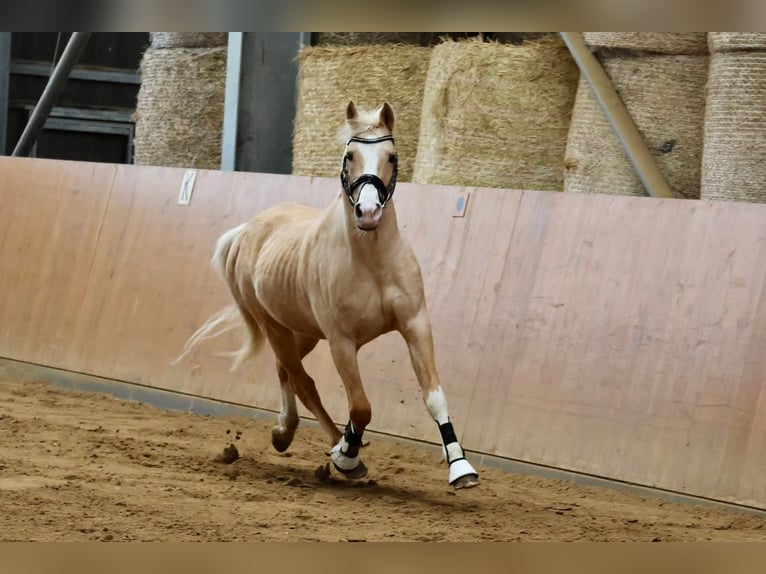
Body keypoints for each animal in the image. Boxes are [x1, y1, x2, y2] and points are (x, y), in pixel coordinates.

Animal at [180, 101, 479, 489]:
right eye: (350, 155)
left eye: (392, 156)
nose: (368, 212)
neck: (371, 260)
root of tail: (248, 230)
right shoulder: (341, 341)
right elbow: (361, 407)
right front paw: (346, 455)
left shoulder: (415, 324)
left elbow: (434, 397)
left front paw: (460, 466)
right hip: (274, 327)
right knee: (303, 382)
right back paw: (334, 449)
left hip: (303, 332)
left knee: (285, 371)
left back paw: (285, 432)